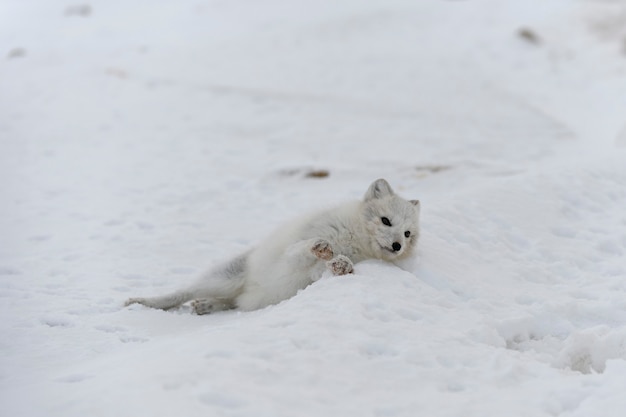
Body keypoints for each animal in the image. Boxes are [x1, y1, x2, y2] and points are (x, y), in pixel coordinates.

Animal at [125, 177, 420, 314]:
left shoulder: (311, 277)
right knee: (182, 293)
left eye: (407, 234)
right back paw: (143, 302)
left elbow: (321, 271)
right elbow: (300, 250)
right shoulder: (292, 252)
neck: (355, 241)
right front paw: (319, 248)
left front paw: (340, 265)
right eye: (385, 220)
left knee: (231, 304)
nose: (397, 246)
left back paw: (206, 306)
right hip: (224, 277)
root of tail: (247, 290)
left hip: (243, 296)